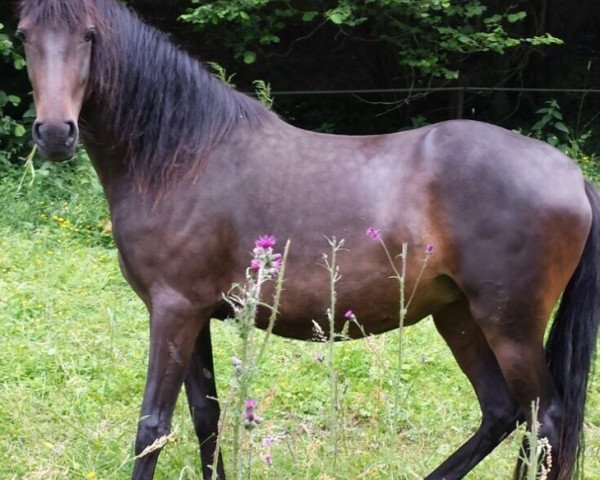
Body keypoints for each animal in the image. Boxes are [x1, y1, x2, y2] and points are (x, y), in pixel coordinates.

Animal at [16, 0, 596, 480]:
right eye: (23, 35)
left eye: (90, 35)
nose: (55, 133)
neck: (183, 159)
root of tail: (569, 173)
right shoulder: (194, 313)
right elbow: (206, 415)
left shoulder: (173, 310)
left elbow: (153, 426)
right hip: (459, 316)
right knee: (503, 414)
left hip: (510, 327)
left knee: (546, 419)